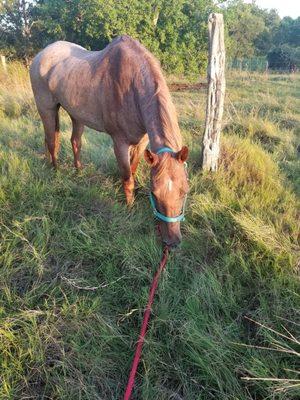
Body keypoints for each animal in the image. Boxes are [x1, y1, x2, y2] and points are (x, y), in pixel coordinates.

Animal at [31, 35, 190, 247]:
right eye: (154, 193)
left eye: (184, 191)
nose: (172, 241)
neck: (132, 86)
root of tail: (41, 55)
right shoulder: (119, 142)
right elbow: (127, 178)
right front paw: (129, 208)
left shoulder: (141, 142)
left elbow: (132, 169)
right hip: (47, 109)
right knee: (52, 141)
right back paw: (56, 171)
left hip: (76, 114)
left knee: (75, 142)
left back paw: (78, 171)